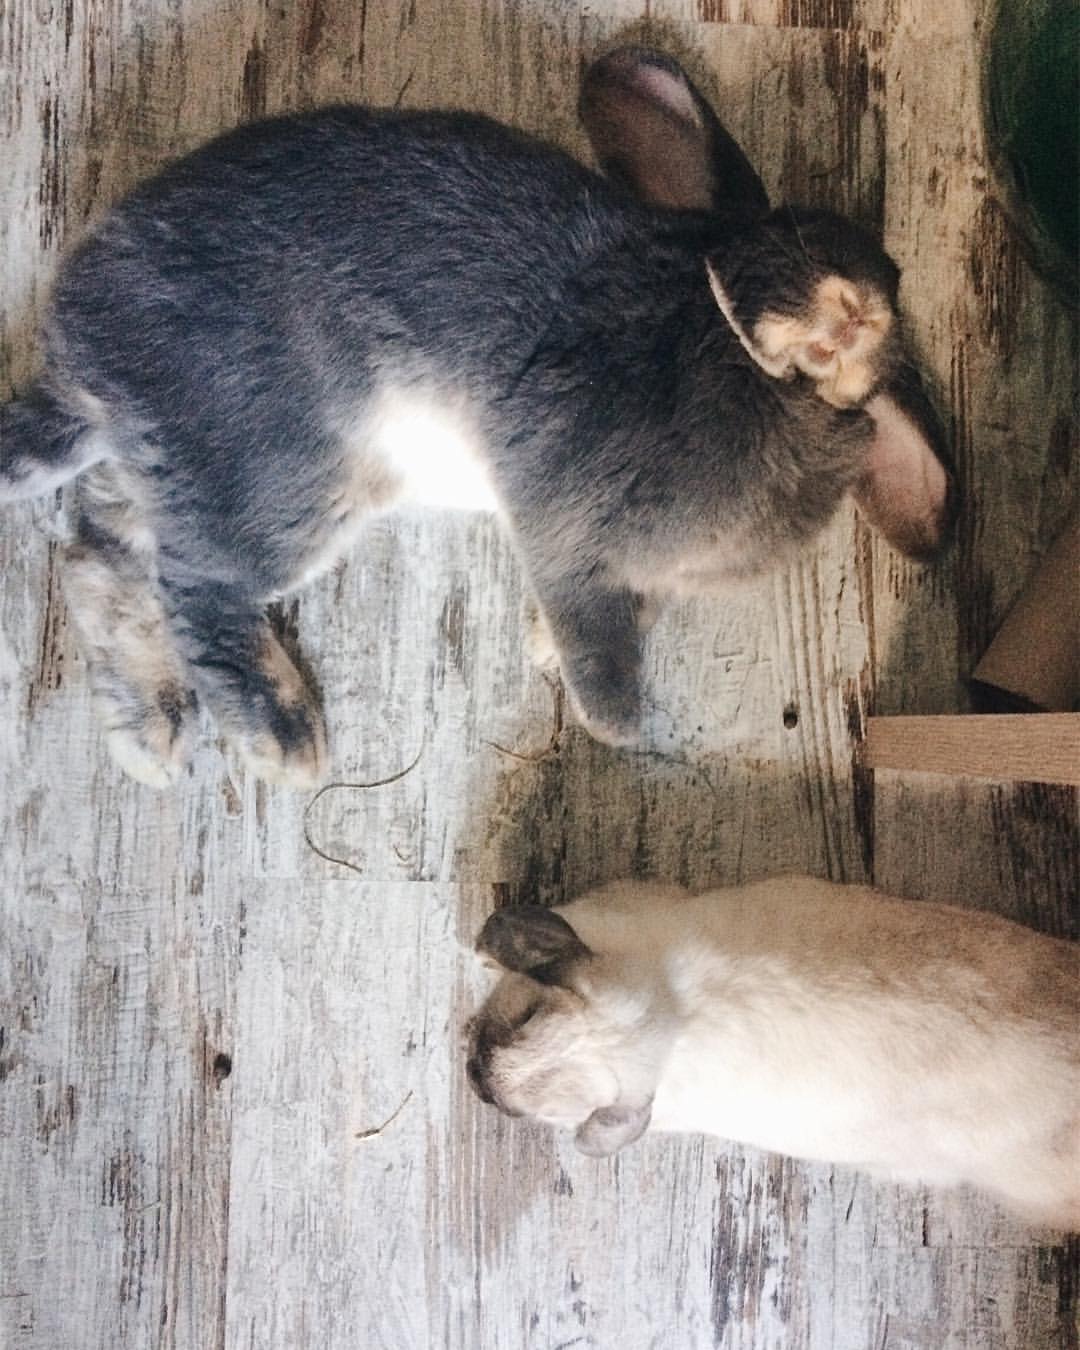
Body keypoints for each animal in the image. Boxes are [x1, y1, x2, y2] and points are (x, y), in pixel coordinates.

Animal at [0, 47, 955, 788]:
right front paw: (611, 718)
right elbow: (592, 621)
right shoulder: (570, 515)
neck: (736, 347)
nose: (857, 301)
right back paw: (282, 736)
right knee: (195, 583)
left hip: (196, 473)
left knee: (100, 556)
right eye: (794, 234)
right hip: (287, 477)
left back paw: (153, 732)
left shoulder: (646, 573)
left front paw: (543, 654)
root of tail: (89, 369)